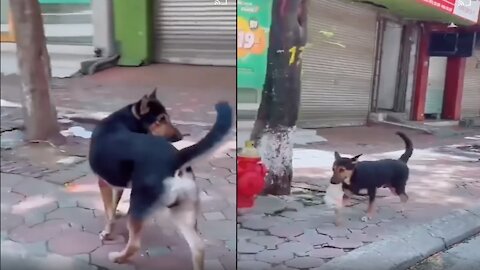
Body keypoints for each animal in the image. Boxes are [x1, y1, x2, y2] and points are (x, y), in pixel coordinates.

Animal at [90, 89, 234, 270]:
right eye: (161, 119)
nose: (180, 136)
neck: (126, 119)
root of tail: (175, 157)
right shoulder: (117, 186)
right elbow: (113, 209)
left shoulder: (104, 183)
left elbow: (109, 213)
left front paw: (107, 233)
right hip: (182, 212)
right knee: (198, 247)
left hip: (138, 206)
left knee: (134, 245)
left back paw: (118, 257)